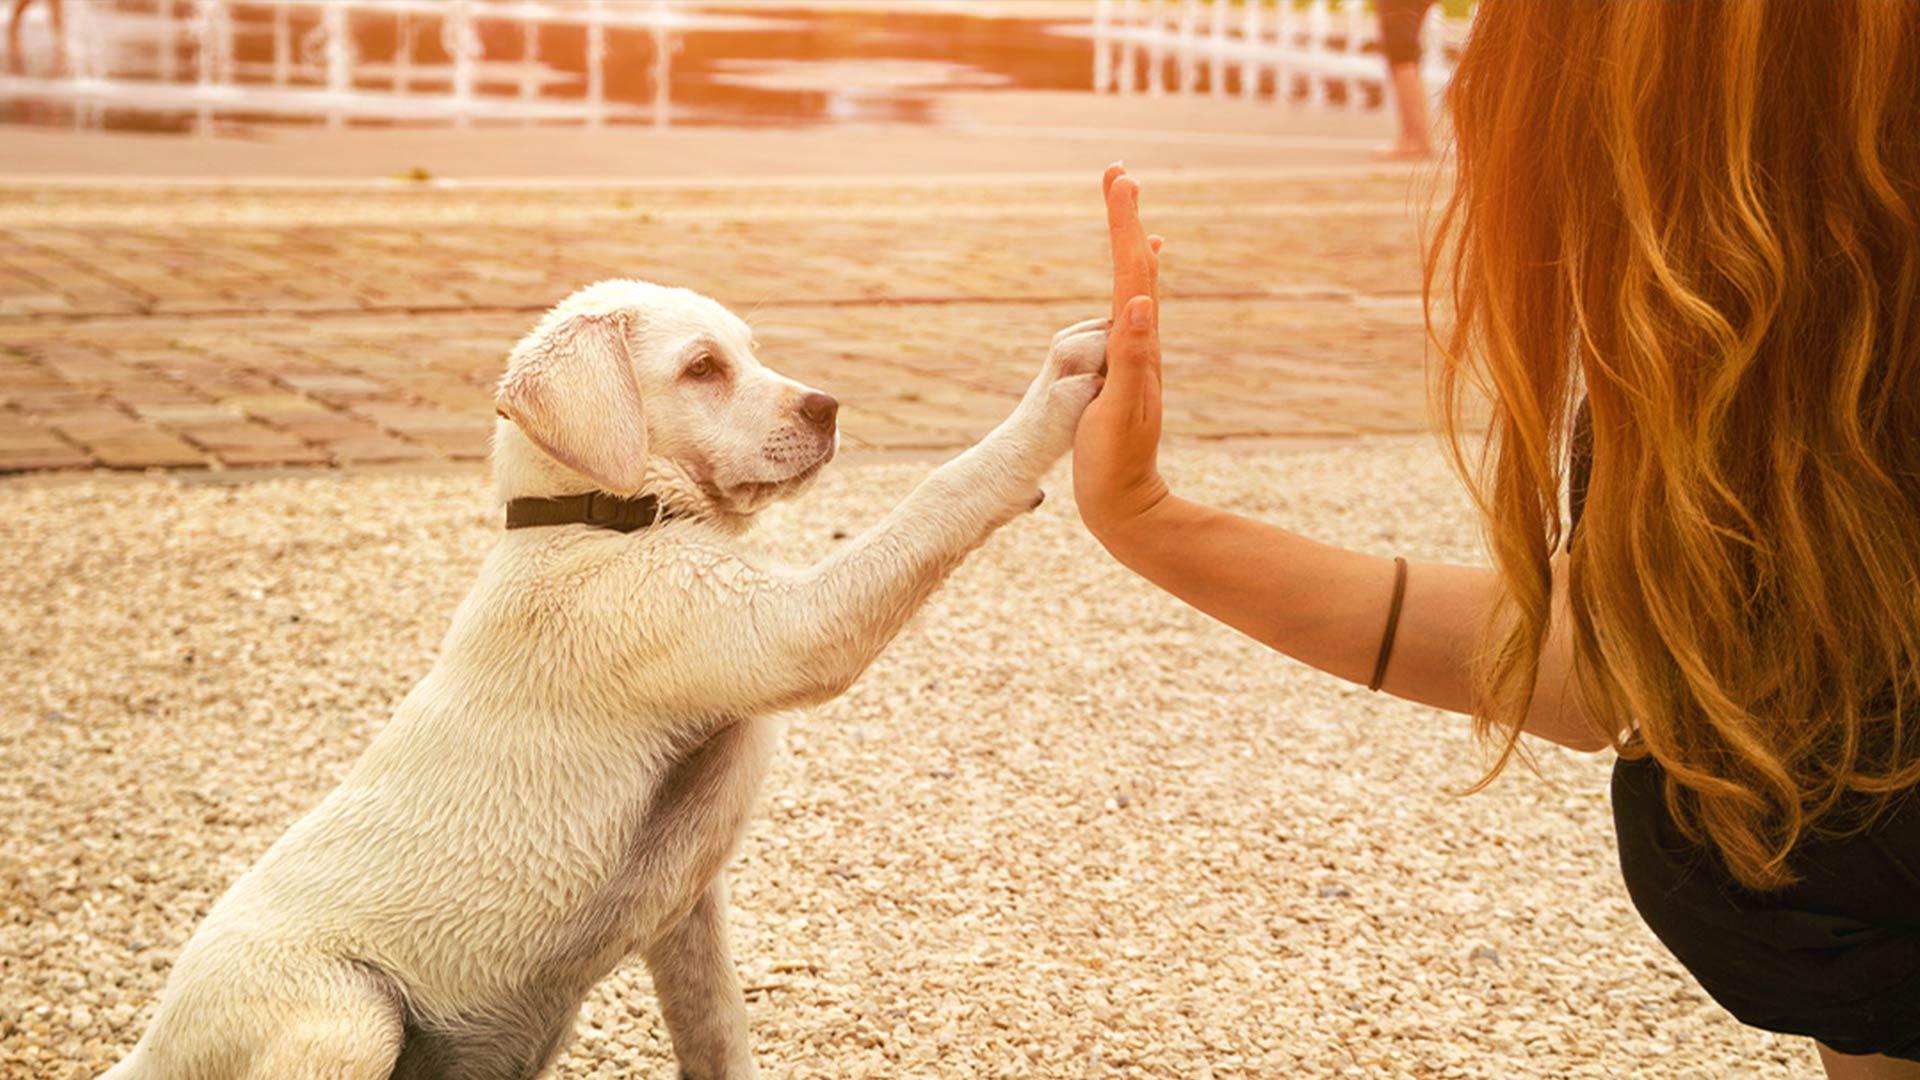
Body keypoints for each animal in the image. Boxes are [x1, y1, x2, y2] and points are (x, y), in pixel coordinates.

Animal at [105, 278, 1121, 1076]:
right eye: (703, 369)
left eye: (750, 354)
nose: (829, 407)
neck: (595, 519)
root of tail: (146, 1054)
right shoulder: (781, 631)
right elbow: (939, 494)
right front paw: (1057, 390)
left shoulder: (688, 910)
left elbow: (717, 1031)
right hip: (343, 1013)